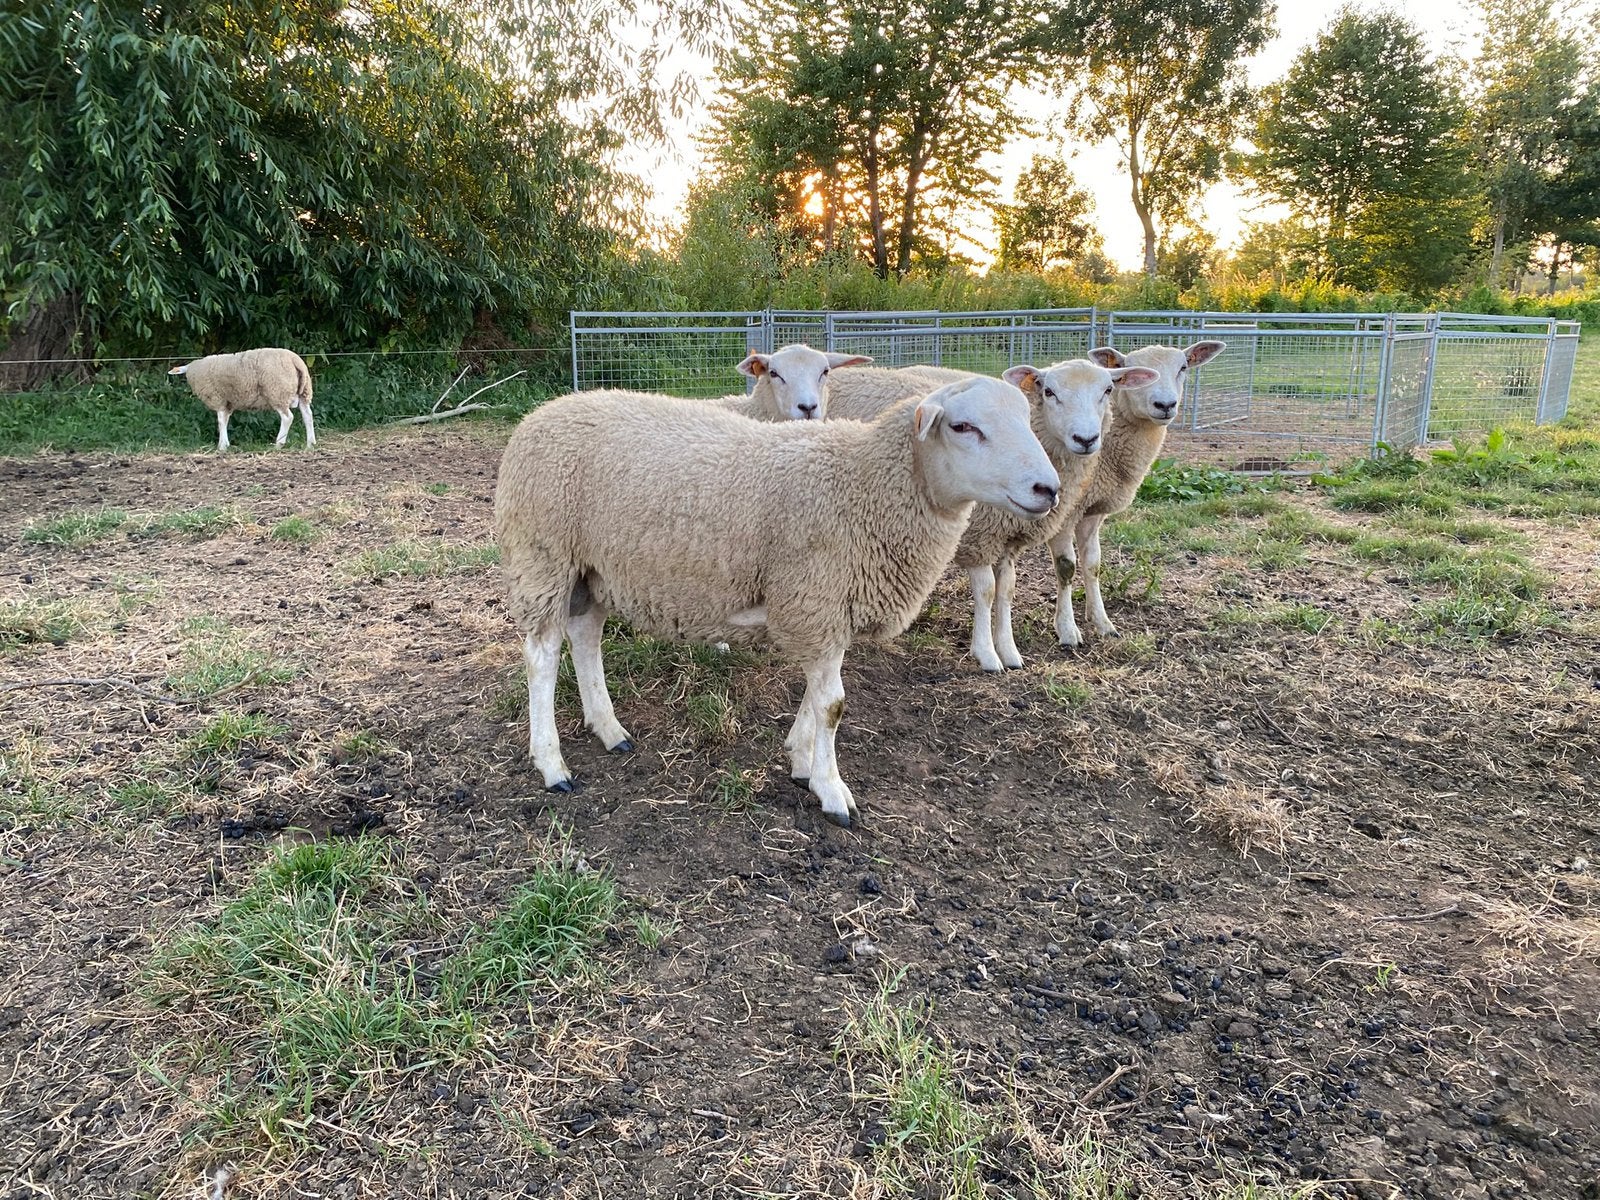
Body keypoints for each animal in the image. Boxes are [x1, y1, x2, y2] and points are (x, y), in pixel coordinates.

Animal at [168, 348, 315, 452]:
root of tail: (295, 361)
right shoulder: (228, 402)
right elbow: (225, 420)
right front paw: (225, 444)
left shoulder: (218, 399)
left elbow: (220, 421)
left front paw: (221, 446)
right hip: (304, 392)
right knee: (308, 416)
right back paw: (310, 444)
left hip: (278, 392)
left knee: (287, 417)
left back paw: (278, 444)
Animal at [493, 376, 1061, 826]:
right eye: (963, 427)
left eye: (1026, 417)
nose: (1048, 488)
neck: (863, 483)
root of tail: (540, 414)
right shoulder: (817, 599)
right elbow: (833, 705)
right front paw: (832, 792)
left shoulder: (828, 607)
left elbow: (819, 697)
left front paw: (802, 760)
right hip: (543, 553)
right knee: (541, 656)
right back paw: (552, 764)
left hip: (590, 568)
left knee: (585, 637)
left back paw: (610, 729)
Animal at [1050, 341, 1226, 647]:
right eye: (1128, 369)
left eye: (1183, 367)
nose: (1165, 405)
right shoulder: (1065, 511)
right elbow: (1066, 569)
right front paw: (1067, 630)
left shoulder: (1092, 511)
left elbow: (1093, 565)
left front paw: (1101, 621)